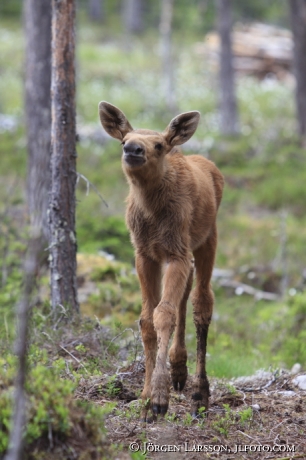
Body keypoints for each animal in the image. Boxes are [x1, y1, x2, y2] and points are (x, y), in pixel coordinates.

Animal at [99, 101, 224, 420]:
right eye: (122, 140)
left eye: (158, 144)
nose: (132, 149)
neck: (151, 210)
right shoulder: (145, 254)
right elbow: (146, 319)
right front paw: (144, 399)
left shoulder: (175, 252)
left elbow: (163, 314)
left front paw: (158, 398)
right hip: (184, 253)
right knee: (186, 296)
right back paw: (179, 369)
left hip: (207, 239)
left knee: (202, 301)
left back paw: (200, 394)